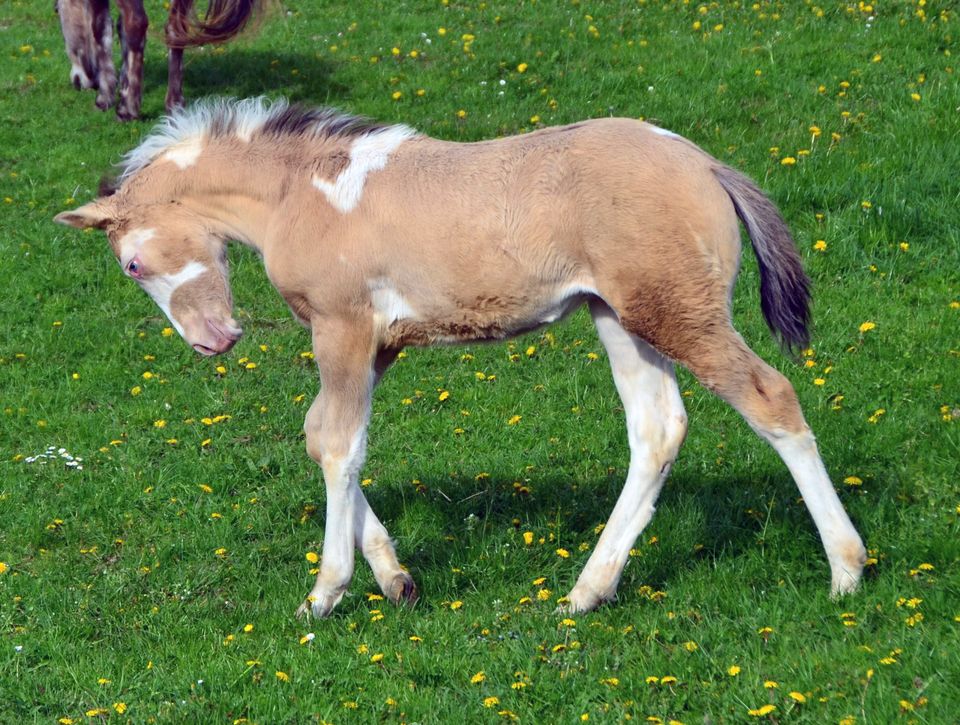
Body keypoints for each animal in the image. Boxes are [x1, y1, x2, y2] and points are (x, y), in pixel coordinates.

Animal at [54, 0, 260, 121]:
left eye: (57, 10)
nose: (79, 81)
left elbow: (100, 27)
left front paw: (105, 97)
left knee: (136, 23)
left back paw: (127, 110)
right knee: (176, 28)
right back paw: (174, 104)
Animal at [54, 96, 872, 616]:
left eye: (131, 265)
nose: (212, 341)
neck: (303, 192)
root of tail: (705, 164)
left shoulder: (344, 328)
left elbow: (340, 446)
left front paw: (326, 593)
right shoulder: (379, 344)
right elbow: (325, 438)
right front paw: (396, 580)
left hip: (679, 314)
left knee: (771, 399)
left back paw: (845, 570)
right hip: (621, 318)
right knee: (657, 429)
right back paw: (587, 591)